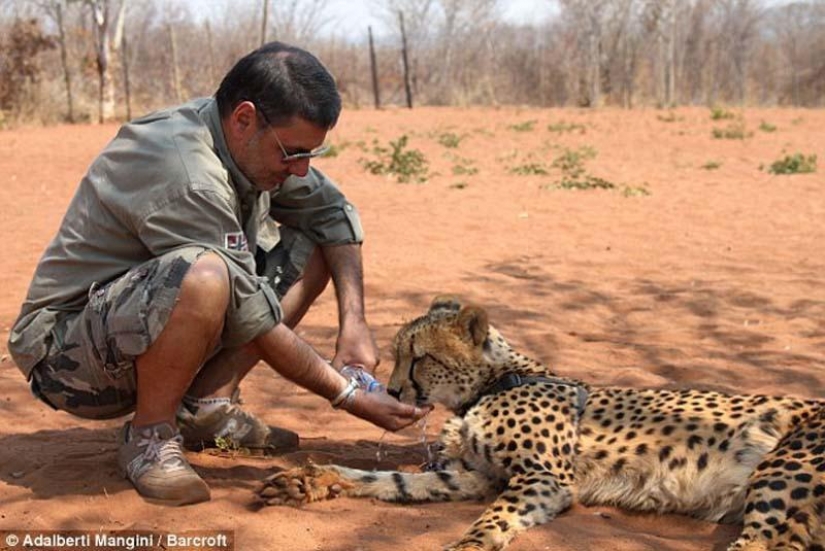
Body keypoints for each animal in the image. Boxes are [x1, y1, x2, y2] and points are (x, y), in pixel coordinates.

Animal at [256, 296, 825, 551]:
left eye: (419, 357)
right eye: (397, 355)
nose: (394, 392)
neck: (493, 383)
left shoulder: (544, 478)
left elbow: (492, 519)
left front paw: (469, 544)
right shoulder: (474, 476)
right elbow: (388, 481)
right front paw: (310, 480)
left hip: (781, 472)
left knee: (762, 545)